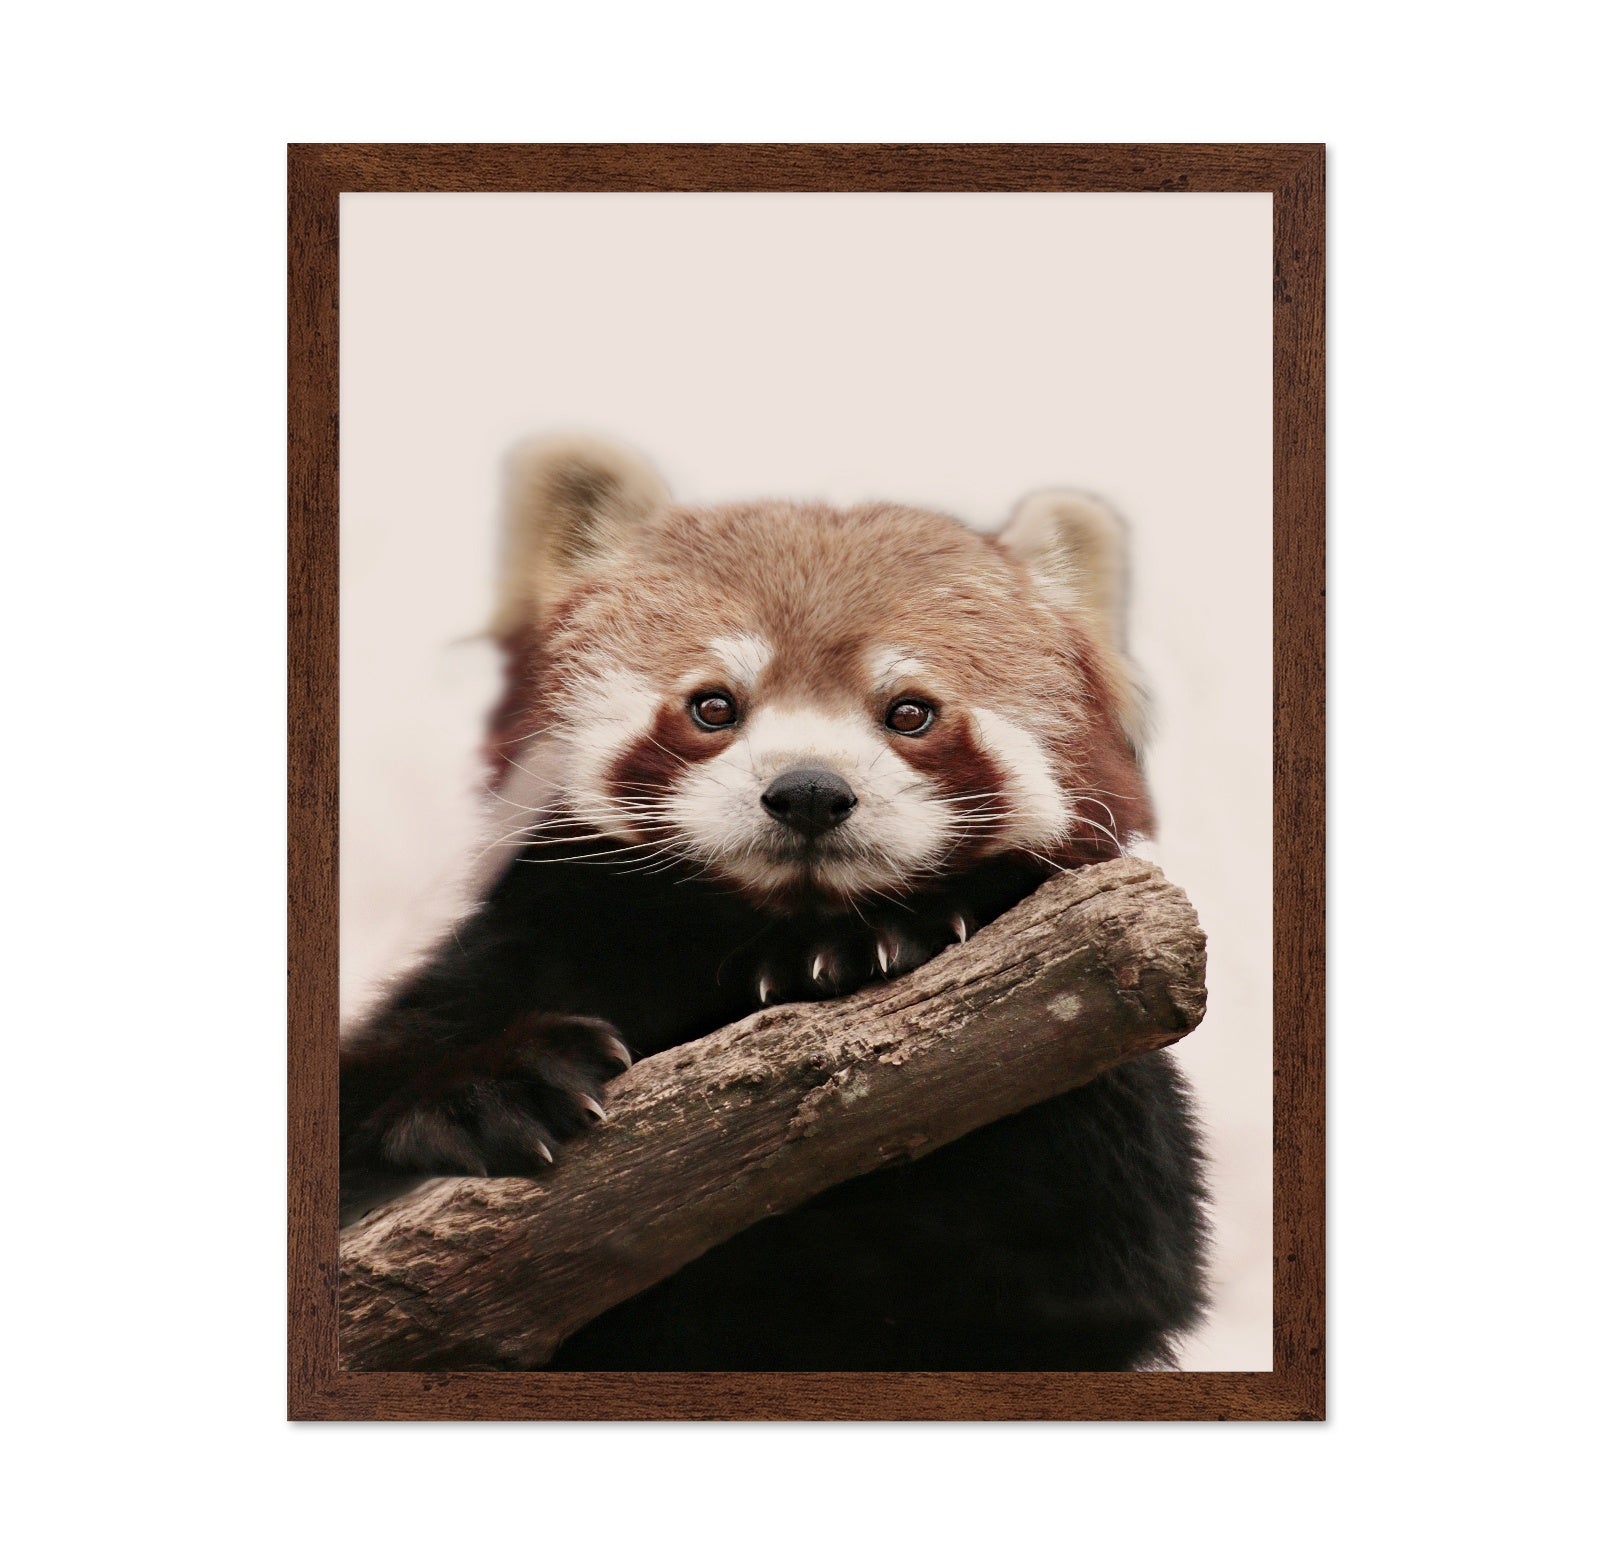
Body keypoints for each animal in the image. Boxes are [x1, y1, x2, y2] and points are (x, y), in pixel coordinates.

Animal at [340, 436, 1208, 1371]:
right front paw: (486, 1089)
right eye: (714, 705)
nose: (809, 791)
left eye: (911, 712)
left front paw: (879, 945)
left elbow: (1099, 1244)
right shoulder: (534, 942)